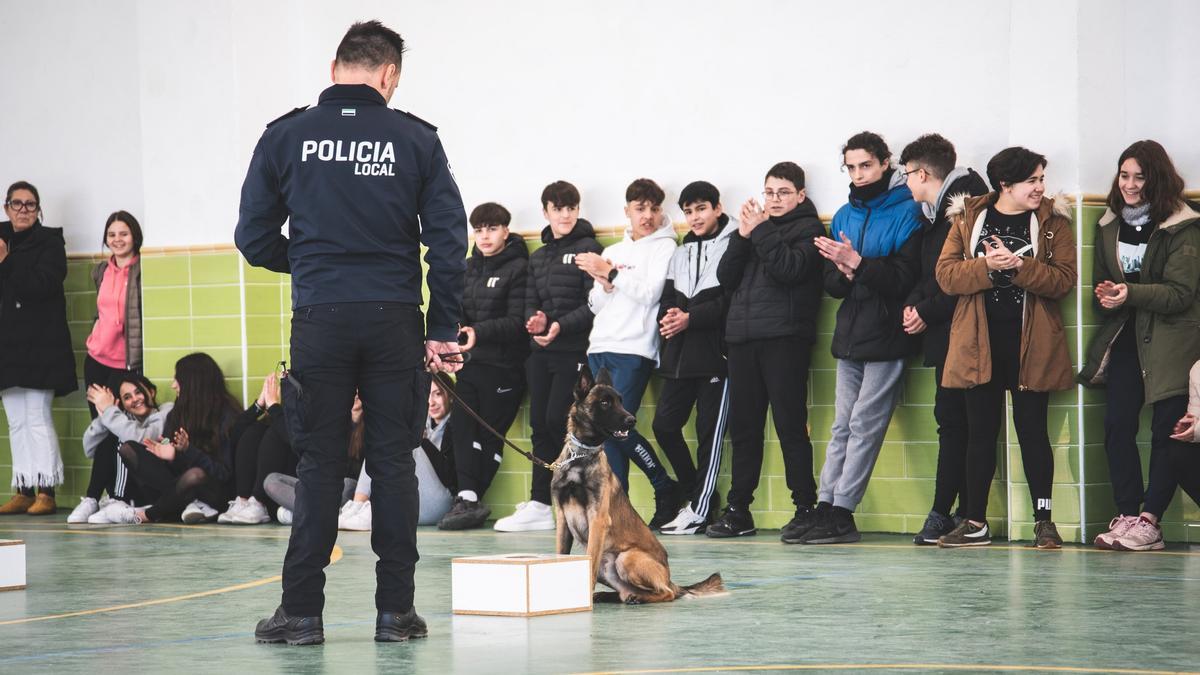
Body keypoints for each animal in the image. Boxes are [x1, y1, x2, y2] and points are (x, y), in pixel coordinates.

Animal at [549, 365, 724, 600]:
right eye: (605, 402)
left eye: (620, 401)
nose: (632, 420)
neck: (580, 456)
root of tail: (670, 577)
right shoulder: (562, 519)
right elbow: (561, 557)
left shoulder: (598, 519)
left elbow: (590, 564)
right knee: (626, 592)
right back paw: (613, 596)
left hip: (626, 558)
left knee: (667, 593)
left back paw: (638, 598)